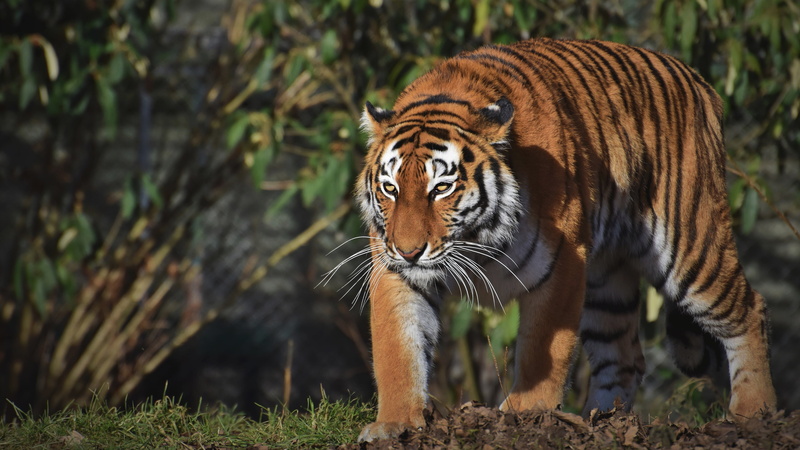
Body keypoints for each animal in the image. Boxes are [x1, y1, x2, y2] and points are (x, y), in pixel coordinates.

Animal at [346, 37, 776, 442]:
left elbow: (543, 348)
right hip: (606, 280)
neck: (476, 239)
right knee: (624, 357)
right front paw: (394, 423)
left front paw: (524, 413)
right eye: (389, 188)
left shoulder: (563, 262)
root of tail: (698, 80)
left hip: (691, 247)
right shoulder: (394, 272)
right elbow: (397, 350)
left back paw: (753, 411)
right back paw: (600, 422)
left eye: (441, 188)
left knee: (749, 309)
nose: (409, 251)